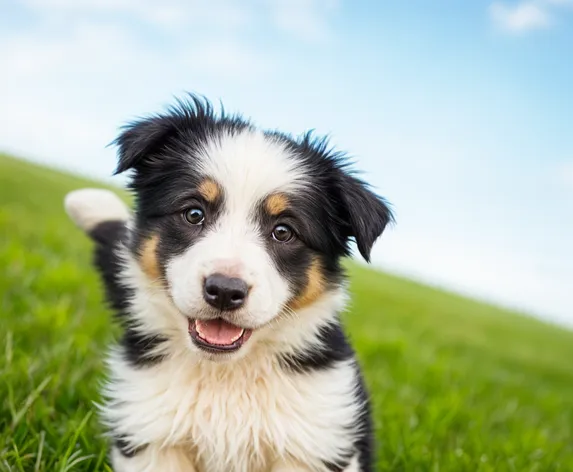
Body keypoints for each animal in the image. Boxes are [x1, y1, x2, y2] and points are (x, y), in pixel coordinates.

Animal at [63, 96, 394, 472]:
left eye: (284, 232)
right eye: (194, 214)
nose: (224, 291)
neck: (226, 375)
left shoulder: (313, 443)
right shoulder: (152, 437)